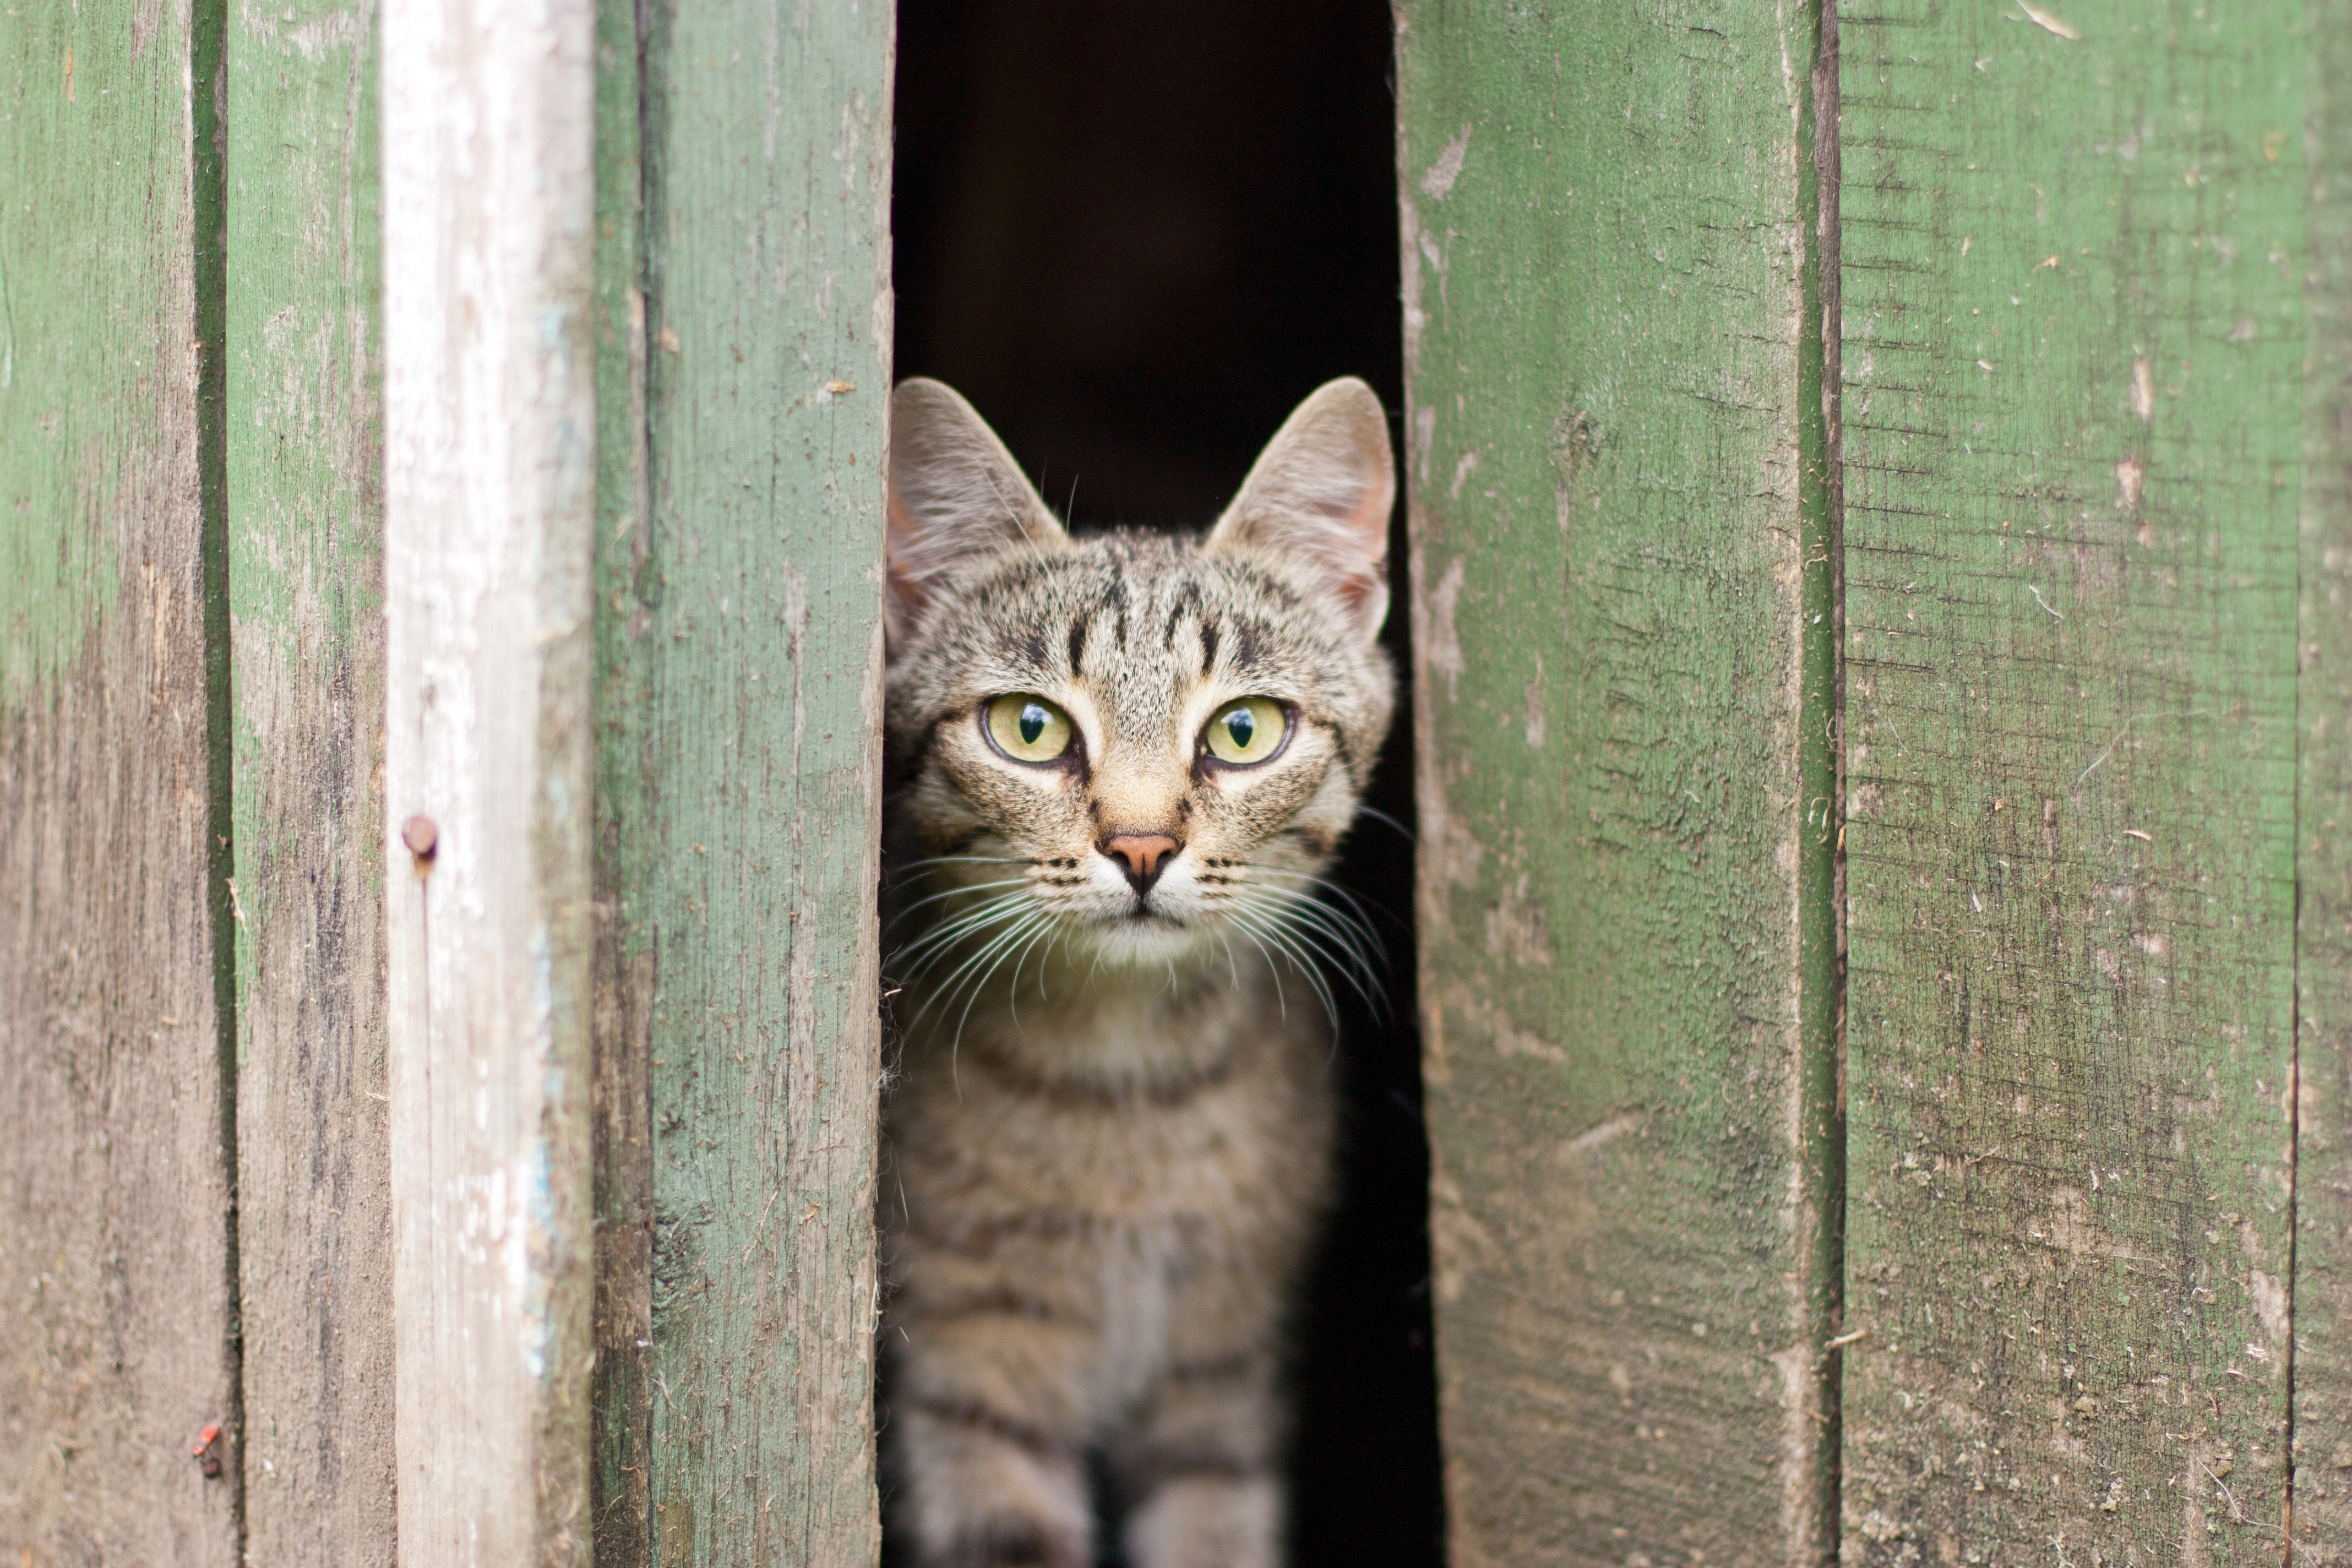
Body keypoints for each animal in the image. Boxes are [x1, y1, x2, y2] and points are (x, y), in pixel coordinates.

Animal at [884, 380, 1392, 1568]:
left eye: (1245, 730)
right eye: (1028, 726)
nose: (1144, 843)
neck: (1130, 1083)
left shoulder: (1221, 1361)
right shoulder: (966, 1365)